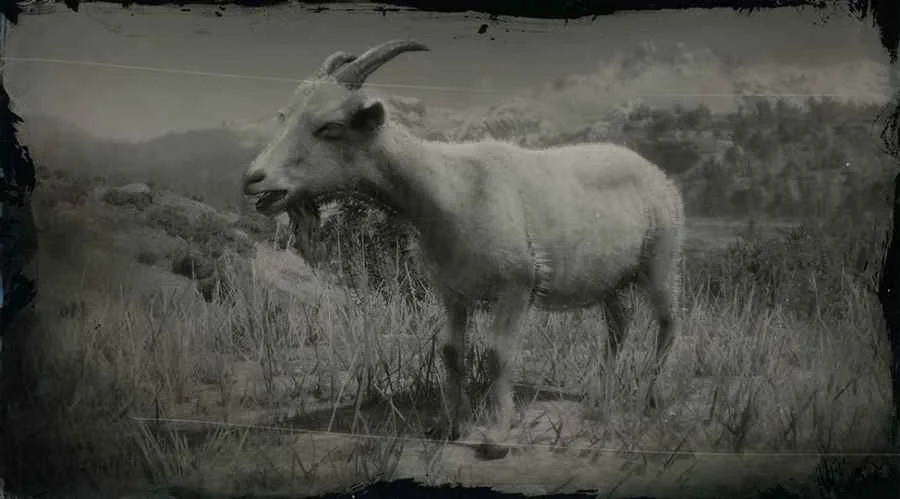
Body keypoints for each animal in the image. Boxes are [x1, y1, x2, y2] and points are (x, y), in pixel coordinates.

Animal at [242, 40, 686, 460]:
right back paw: (599, 394)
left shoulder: (517, 284)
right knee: (618, 326)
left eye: (330, 127)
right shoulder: (453, 290)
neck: (451, 186)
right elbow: (452, 351)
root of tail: (657, 175)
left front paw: (496, 437)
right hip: (611, 279)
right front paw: (450, 425)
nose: (254, 179)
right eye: (284, 115)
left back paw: (649, 397)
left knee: (667, 324)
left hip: (660, 261)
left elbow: (498, 354)